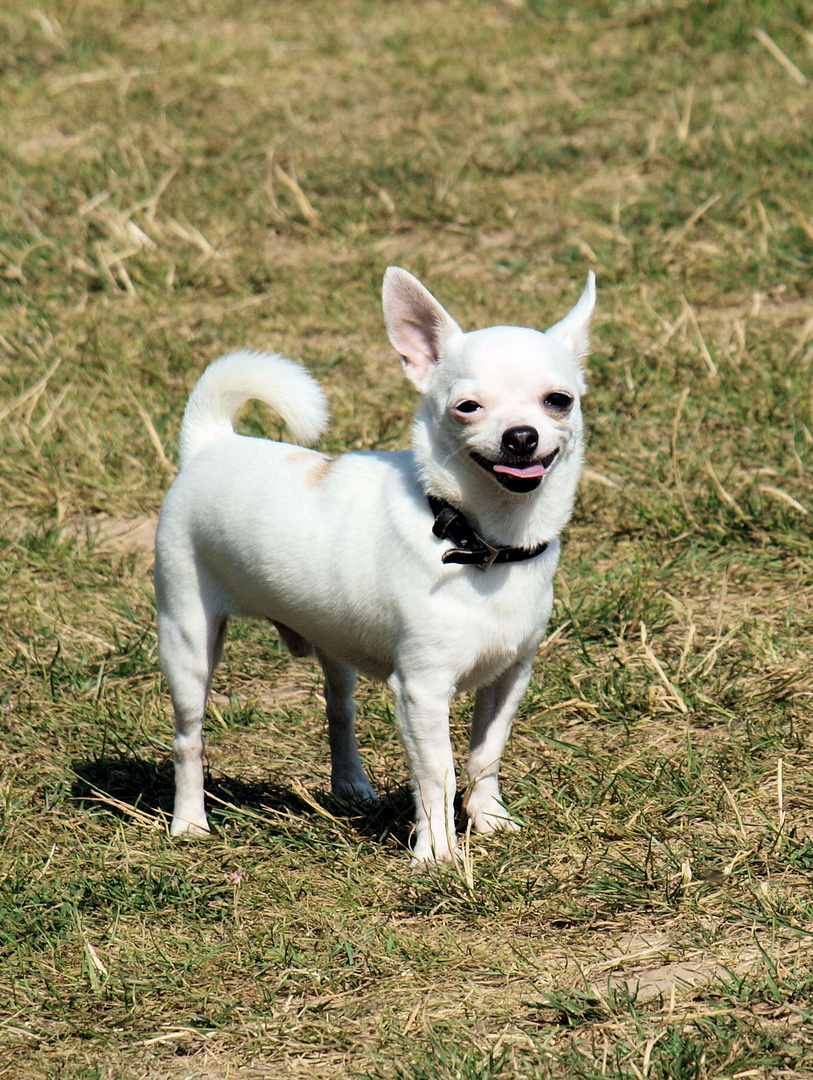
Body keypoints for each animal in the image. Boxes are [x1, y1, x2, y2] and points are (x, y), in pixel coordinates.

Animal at [155, 267, 591, 859]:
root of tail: (211, 444)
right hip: (188, 641)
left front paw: (490, 819)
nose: (520, 436)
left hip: (333, 640)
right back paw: (190, 822)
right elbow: (437, 774)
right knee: (188, 738)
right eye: (467, 407)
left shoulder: (509, 677)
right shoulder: (422, 691)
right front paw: (439, 854)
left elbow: (485, 754)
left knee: (338, 709)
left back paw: (350, 786)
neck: (479, 539)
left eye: (558, 401)